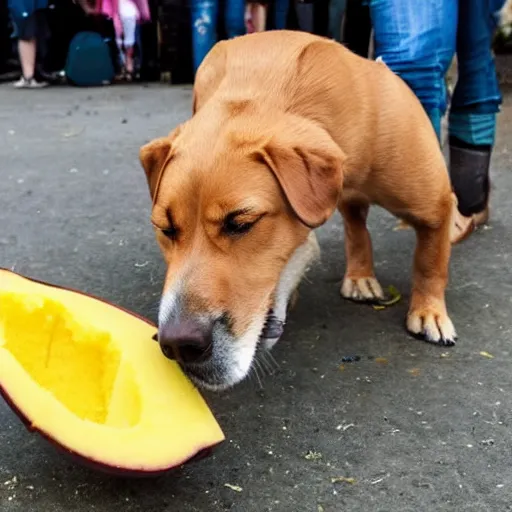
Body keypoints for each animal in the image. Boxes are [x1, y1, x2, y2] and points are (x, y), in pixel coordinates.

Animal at [139, 32, 468, 390]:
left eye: (241, 223)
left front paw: (429, 311)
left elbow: (430, 260)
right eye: (166, 229)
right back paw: (359, 274)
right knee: (355, 225)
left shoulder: (434, 206)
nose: (177, 345)